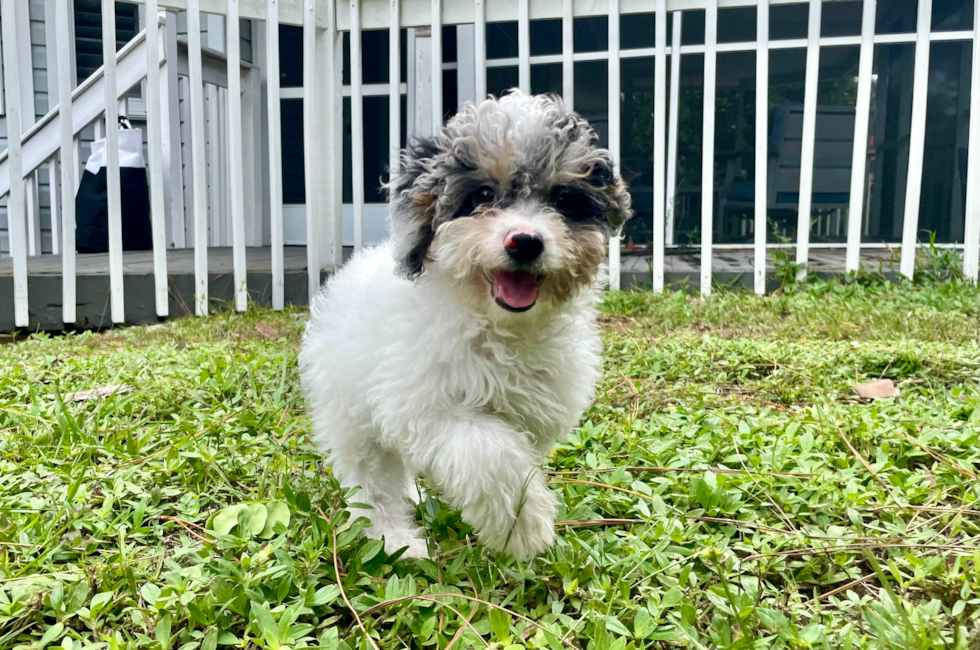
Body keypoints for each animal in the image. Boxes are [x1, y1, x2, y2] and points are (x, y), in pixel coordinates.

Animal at [300, 91, 636, 556]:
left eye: (564, 200)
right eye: (483, 193)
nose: (525, 241)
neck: (496, 325)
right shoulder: (426, 405)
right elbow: (488, 452)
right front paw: (523, 526)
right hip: (350, 409)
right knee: (372, 477)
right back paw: (393, 538)